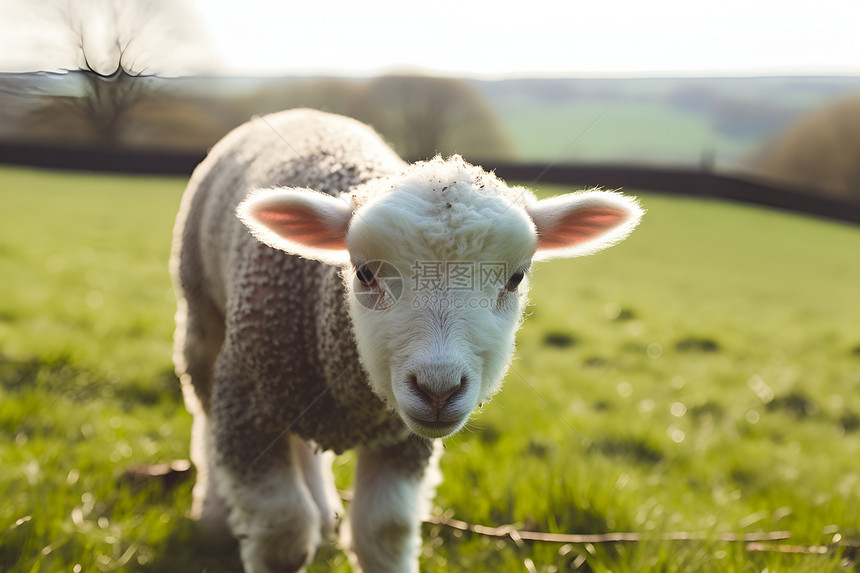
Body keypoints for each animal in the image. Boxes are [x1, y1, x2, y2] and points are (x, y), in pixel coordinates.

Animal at [170, 108, 644, 572]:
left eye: (515, 277)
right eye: (364, 273)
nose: (438, 390)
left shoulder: (405, 440)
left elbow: (384, 532)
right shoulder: (246, 409)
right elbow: (282, 535)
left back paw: (323, 509)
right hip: (202, 318)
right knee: (204, 408)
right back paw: (213, 513)